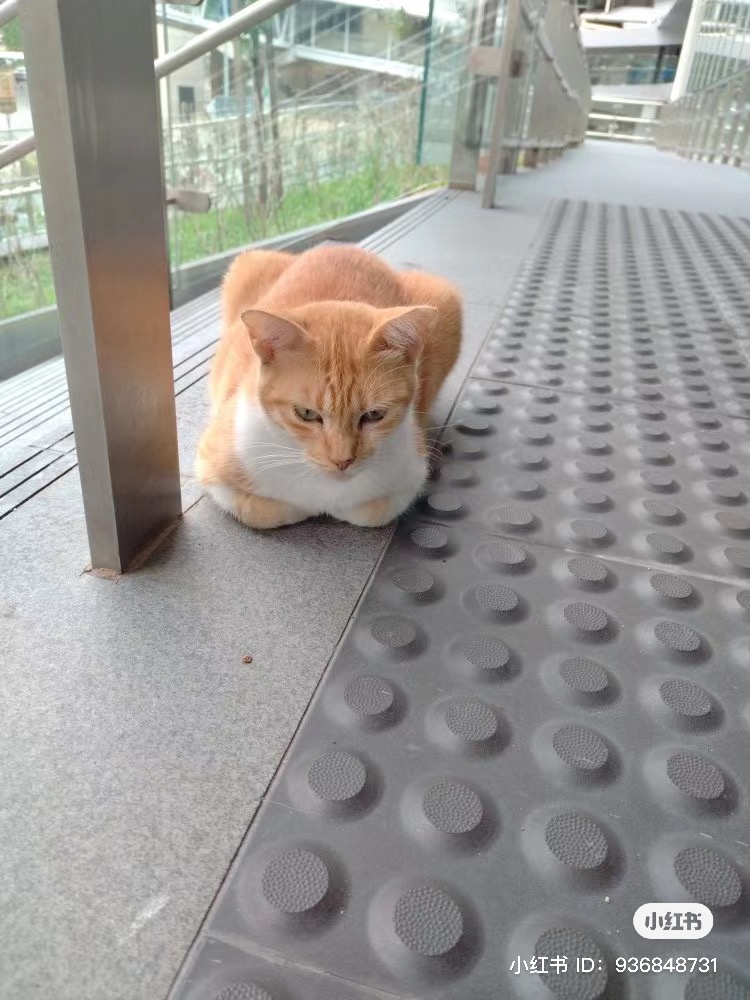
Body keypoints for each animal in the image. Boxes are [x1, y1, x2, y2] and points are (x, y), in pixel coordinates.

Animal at [197, 244, 462, 532]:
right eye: (306, 414)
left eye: (374, 415)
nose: (342, 461)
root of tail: (342, 246)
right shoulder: (211, 462)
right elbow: (263, 510)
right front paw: (304, 508)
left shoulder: (412, 472)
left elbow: (373, 512)